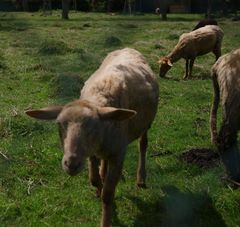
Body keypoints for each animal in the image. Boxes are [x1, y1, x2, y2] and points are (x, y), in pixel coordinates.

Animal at [25, 48, 159, 227]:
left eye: (94, 126)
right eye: (59, 124)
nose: (71, 164)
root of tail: (128, 48)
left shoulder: (118, 153)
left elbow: (108, 195)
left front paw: (105, 219)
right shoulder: (92, 153)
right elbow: (94, 180)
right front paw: (98, 187)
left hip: (145, 124)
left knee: (143, 144)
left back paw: (141, 178)